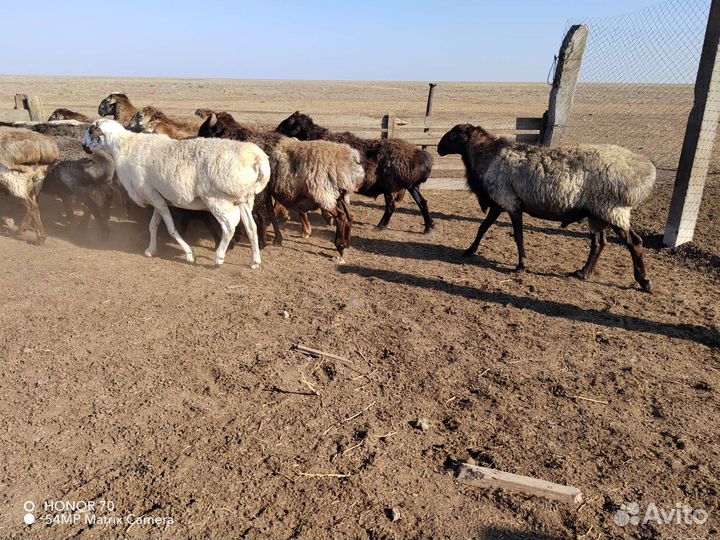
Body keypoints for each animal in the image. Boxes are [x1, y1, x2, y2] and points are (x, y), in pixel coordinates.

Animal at [83, 119, 270, 268]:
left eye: (91, 130)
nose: (83, 147)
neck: (124, 147)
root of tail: (257, 158)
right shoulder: (157, 197)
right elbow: (153, 225)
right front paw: (151, 250)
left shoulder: (153, 196)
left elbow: (171, 229)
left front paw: (189, 254)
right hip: (244, 199)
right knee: (251, 227)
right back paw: (255, 261)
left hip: (218, 199)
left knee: (230, 226)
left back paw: (219, 258)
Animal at [199, 112, 364, 260]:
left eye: (207, 131)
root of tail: (348, 163)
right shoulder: (265, 192)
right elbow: (270, 214)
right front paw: (276, 239)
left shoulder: (254, 191)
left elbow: (256, 215)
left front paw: (256, 242)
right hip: (338, 197)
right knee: (349, 216)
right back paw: (345, 244)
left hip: (324, 195)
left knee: (341, 216)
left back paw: (340, 245)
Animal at [275, 111, 434, 233]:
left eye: (290, 122)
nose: (275, 132)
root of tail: (420, 156)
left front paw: (330, 218)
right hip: (411, 186)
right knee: (422, 202)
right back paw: (428, 227)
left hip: (391, 187)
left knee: (391, 207)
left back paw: (380, 227)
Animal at [437, 124, 656, 292]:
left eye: (453, 135)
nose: (438, 148)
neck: (487, 156)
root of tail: (644, 170)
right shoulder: (500, 203)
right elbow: (483, 227)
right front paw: (470, 250)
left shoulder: (509, 202)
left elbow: (518, 236)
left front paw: (521, 265)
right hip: (598, 213)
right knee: (599, 243)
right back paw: (583, 272)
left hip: (612, 209)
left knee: (635, 243)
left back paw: (644, 282)